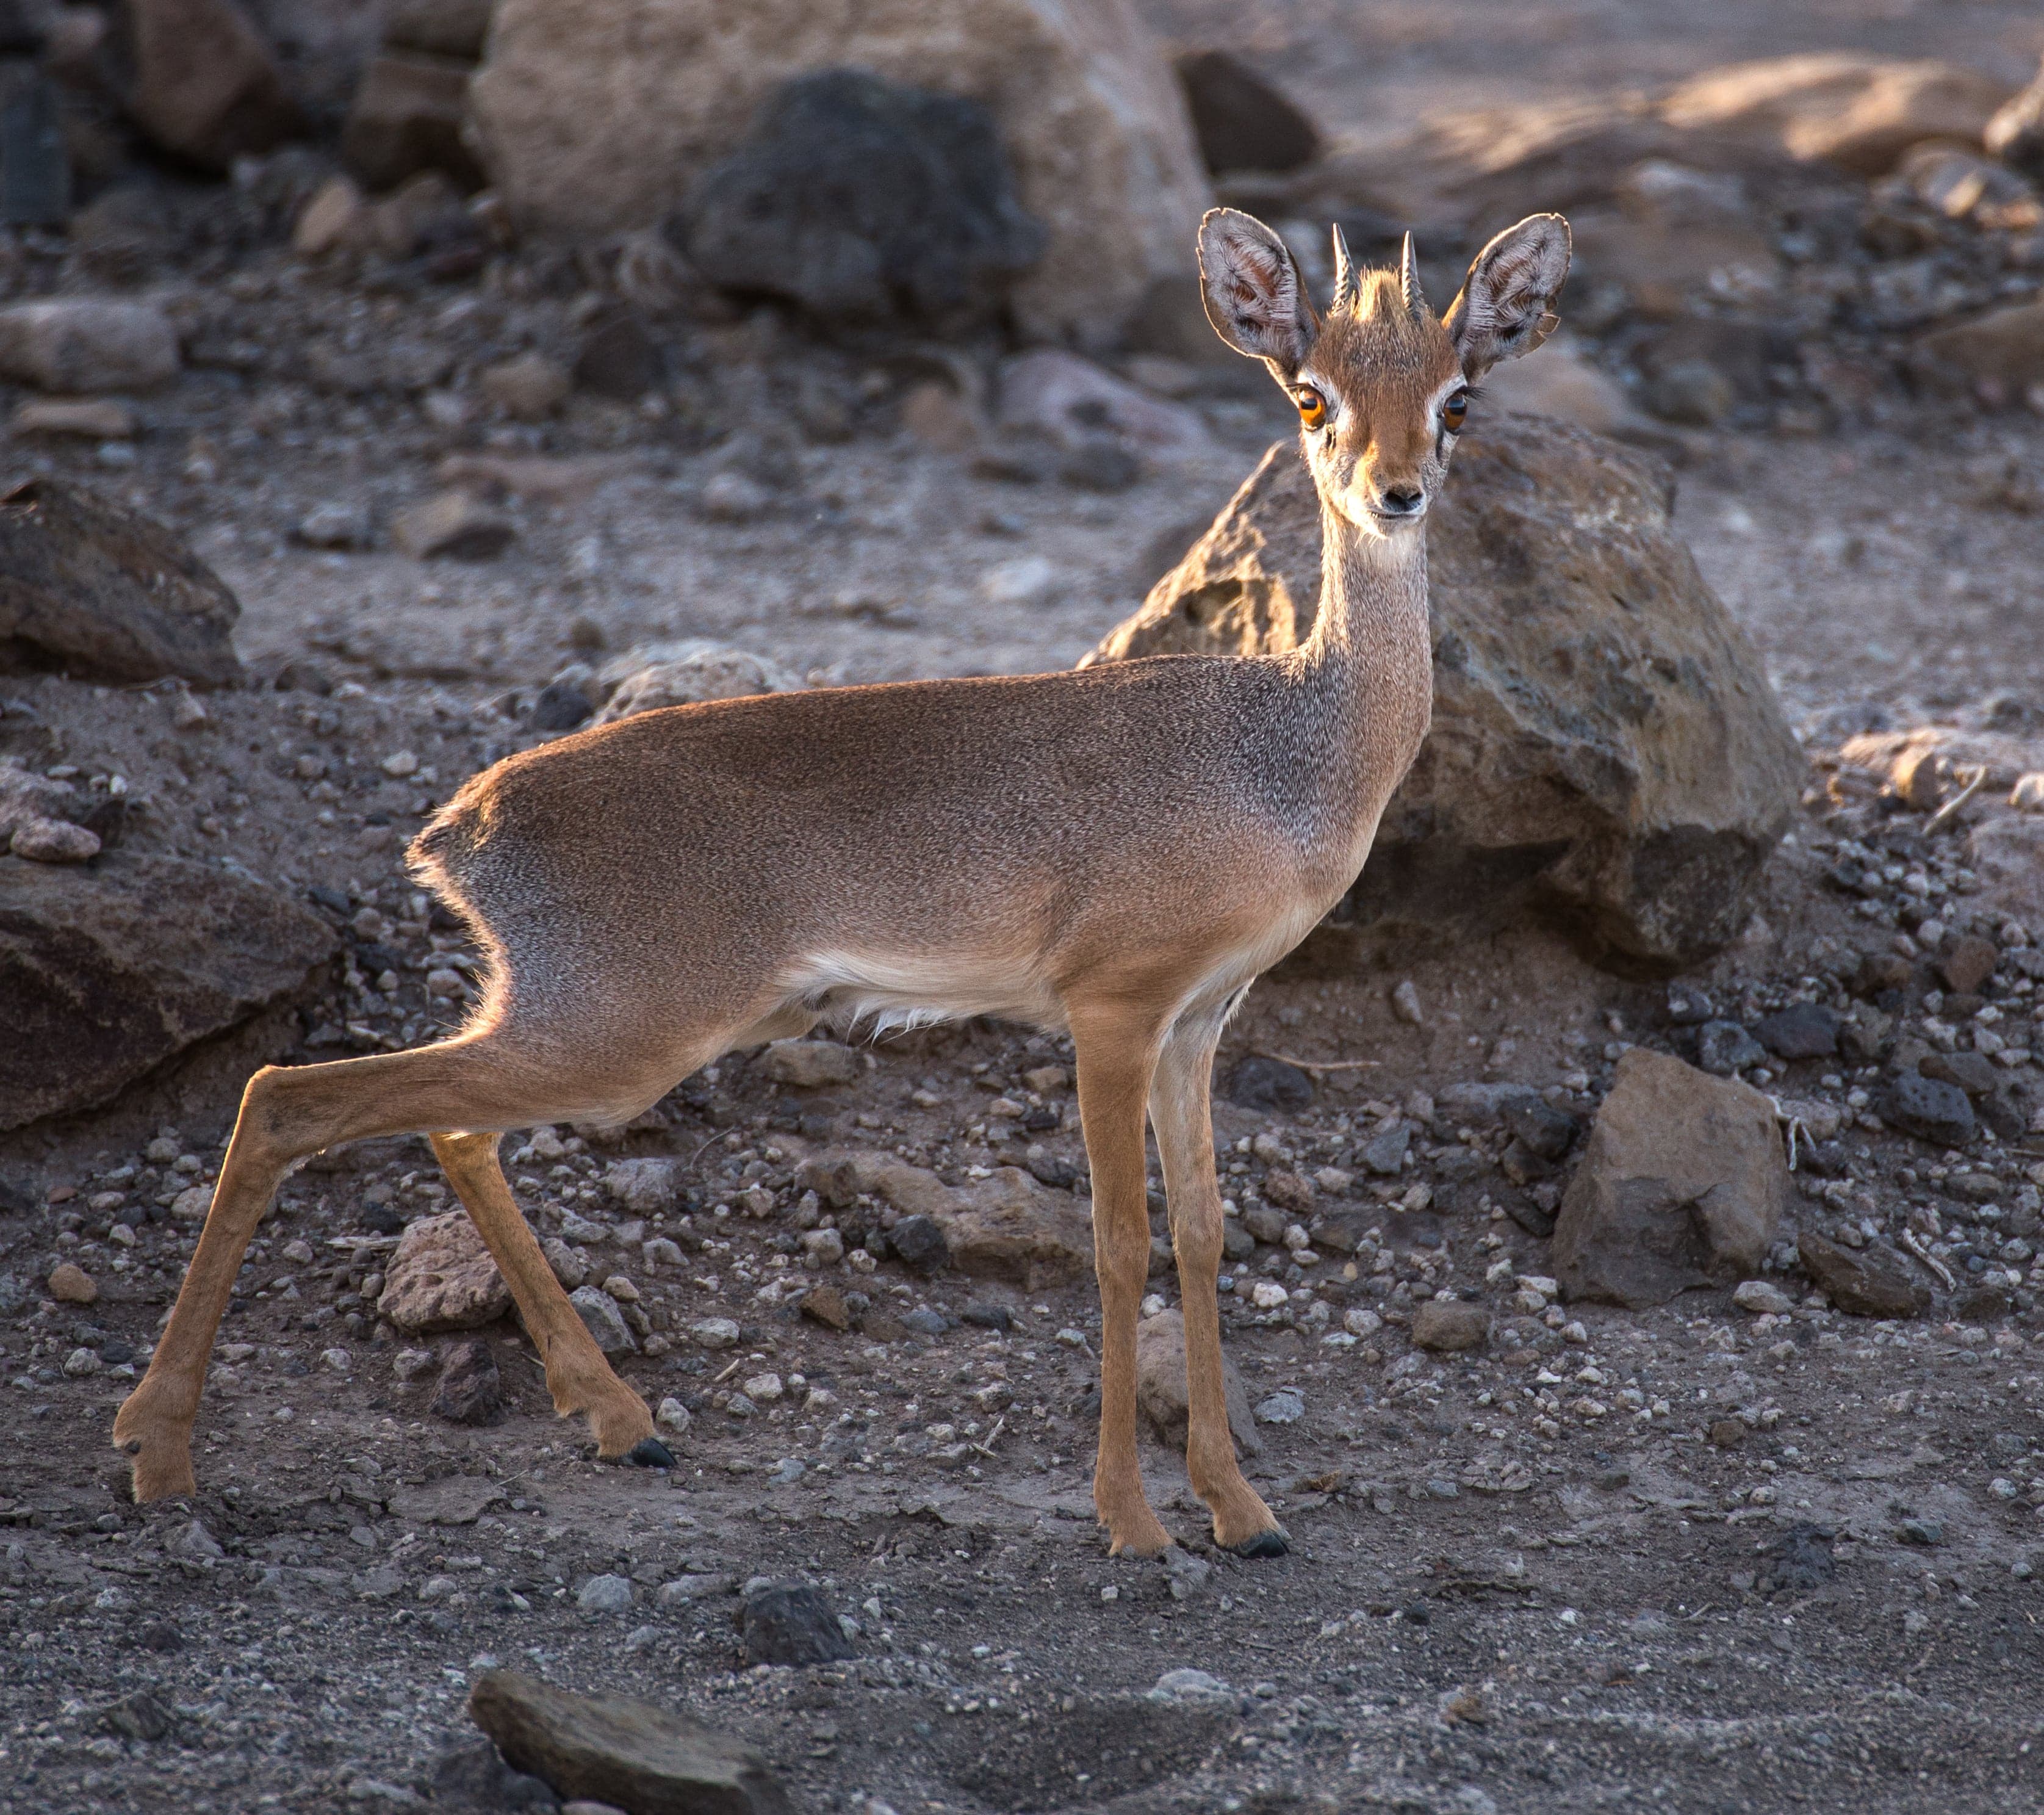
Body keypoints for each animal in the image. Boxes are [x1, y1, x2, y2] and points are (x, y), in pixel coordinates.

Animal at [114, 207, 1569, 1560]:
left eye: (1459, 394)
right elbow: (1116, 1240)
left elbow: (1204, 1232)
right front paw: (1129, 1516)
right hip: (618, 1033)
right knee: (287, 1096)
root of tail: (460, 825)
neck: (1289, 754)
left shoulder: (1201, 1018)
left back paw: (619, 1420)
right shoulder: (1110, 1008)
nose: (1396, 490)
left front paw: (1242, 1508)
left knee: (442, 1128)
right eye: (1309, 393)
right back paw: (158, 1450)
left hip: (579, 1030)